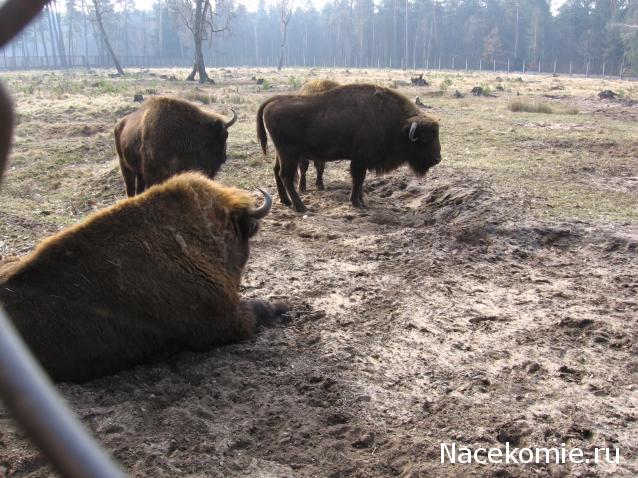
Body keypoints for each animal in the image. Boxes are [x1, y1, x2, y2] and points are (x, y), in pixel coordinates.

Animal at [258, 83, 442, 212]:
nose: (437, 159)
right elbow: (358, 179)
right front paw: (357, 202)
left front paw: (362, 201)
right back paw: (301, 207)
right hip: (290, 154)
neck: (398, 124)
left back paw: (286, 201)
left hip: (282, 153)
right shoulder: (360, 159)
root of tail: (274, 101)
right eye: (425, 138)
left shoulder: (362, 160)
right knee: (286, 176)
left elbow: (360, 180)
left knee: (277, 172)